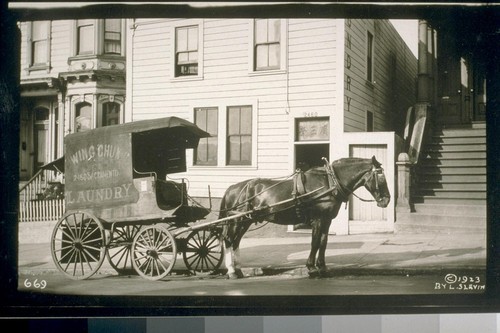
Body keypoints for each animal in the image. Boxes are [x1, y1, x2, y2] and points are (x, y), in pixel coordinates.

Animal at [219, 156, 390, 278]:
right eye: (381, 176)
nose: (387, 200)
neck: (329, 182)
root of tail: (232, 188)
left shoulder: (327, 220)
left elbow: (323, 243)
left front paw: (322, 267)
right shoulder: (318, 220)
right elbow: (315, 242)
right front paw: (312, 268)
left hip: (245, 221)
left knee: (236, 242)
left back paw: (238, 269)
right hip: (237, 220)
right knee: (229, 241)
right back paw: (231, 271)